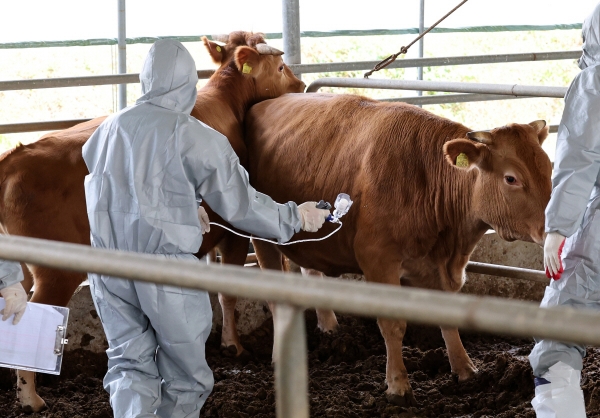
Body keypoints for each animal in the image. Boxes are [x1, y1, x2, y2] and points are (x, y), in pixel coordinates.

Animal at [240, 93, 552, 406]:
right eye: (511, 178)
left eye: (549, 168)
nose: (552, 226)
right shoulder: (378, 260)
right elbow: (393, 324)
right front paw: (398, 386)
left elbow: (448, 319)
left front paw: (465, 369)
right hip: (262, 237)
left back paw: (330, 329)